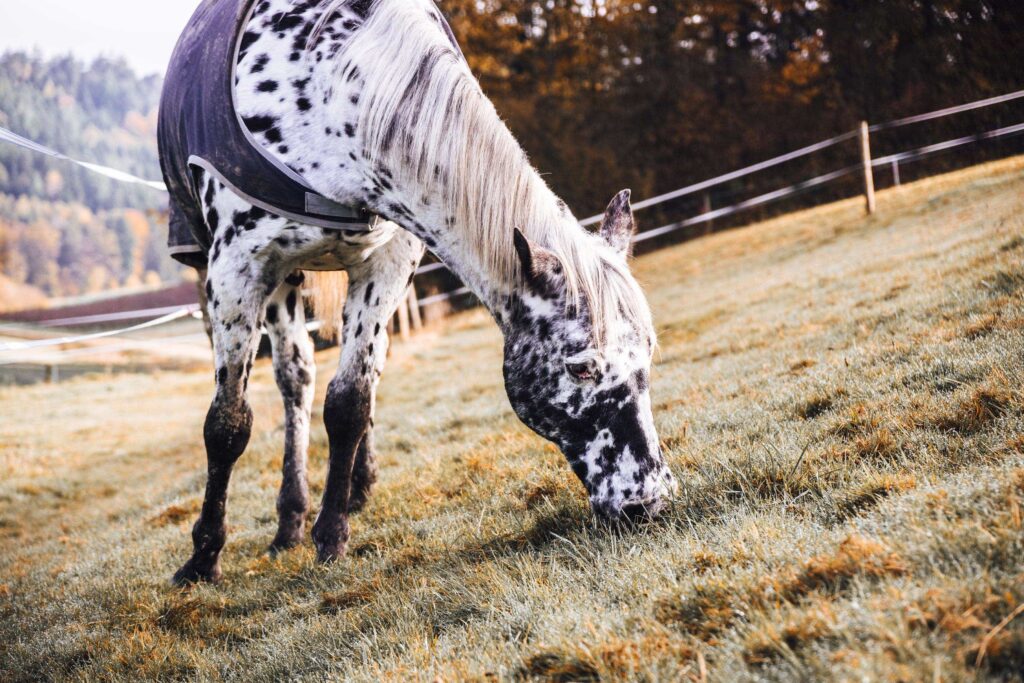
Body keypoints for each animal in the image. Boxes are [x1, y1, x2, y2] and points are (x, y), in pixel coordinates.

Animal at [158, 0, 677, 585]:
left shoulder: (387, 263)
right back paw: (288, 522)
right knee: (295, 381)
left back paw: (352, 490)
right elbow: (228, 422)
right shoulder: (237, 271)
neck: (328, 89)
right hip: (272, 285)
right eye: (581, 367)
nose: (647, 501)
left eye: (649, 357)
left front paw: (331, 535)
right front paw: (202, 558)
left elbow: (350, 402)